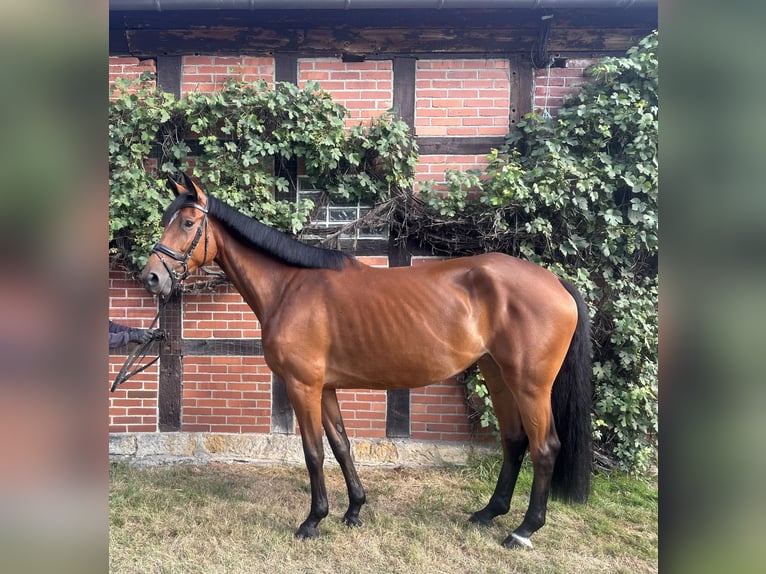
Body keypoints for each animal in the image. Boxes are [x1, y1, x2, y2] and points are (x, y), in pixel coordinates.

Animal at [139, 173, 593, 550]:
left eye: (186, 223)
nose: (152, 278)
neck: (290, 287)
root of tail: (555, 282)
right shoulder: (325, 388)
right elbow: (341, 446)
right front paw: (354, 509)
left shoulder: (302, 385)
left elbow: (313, 452)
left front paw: (312, 521)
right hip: (497, 374)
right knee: (514, 441)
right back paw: (488, 513)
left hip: (531, 384)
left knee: (544, 447)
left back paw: (523, 530)